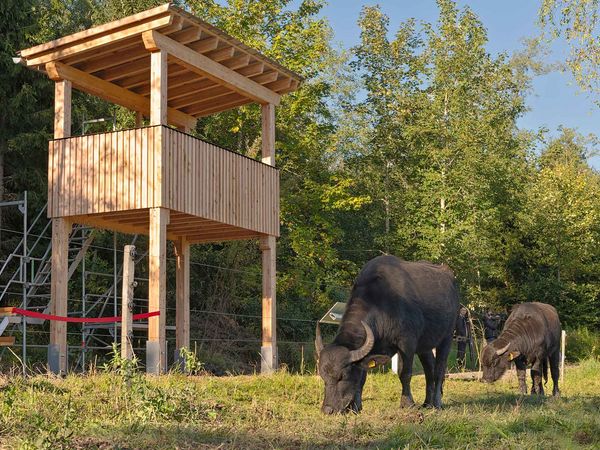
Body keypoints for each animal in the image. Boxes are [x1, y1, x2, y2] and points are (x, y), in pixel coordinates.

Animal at [314, 255, 460, 414]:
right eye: (323, 377)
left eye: (342, 377)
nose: (328, 409)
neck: (382, 305)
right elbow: (362, 378)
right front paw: (356, 406)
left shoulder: (407, 343)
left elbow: (405, 373)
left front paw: (407, 403)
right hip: (425, 346)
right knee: (429, 369)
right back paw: (427, 403)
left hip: (446, 337)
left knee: (439, 369)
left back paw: (437, 403)